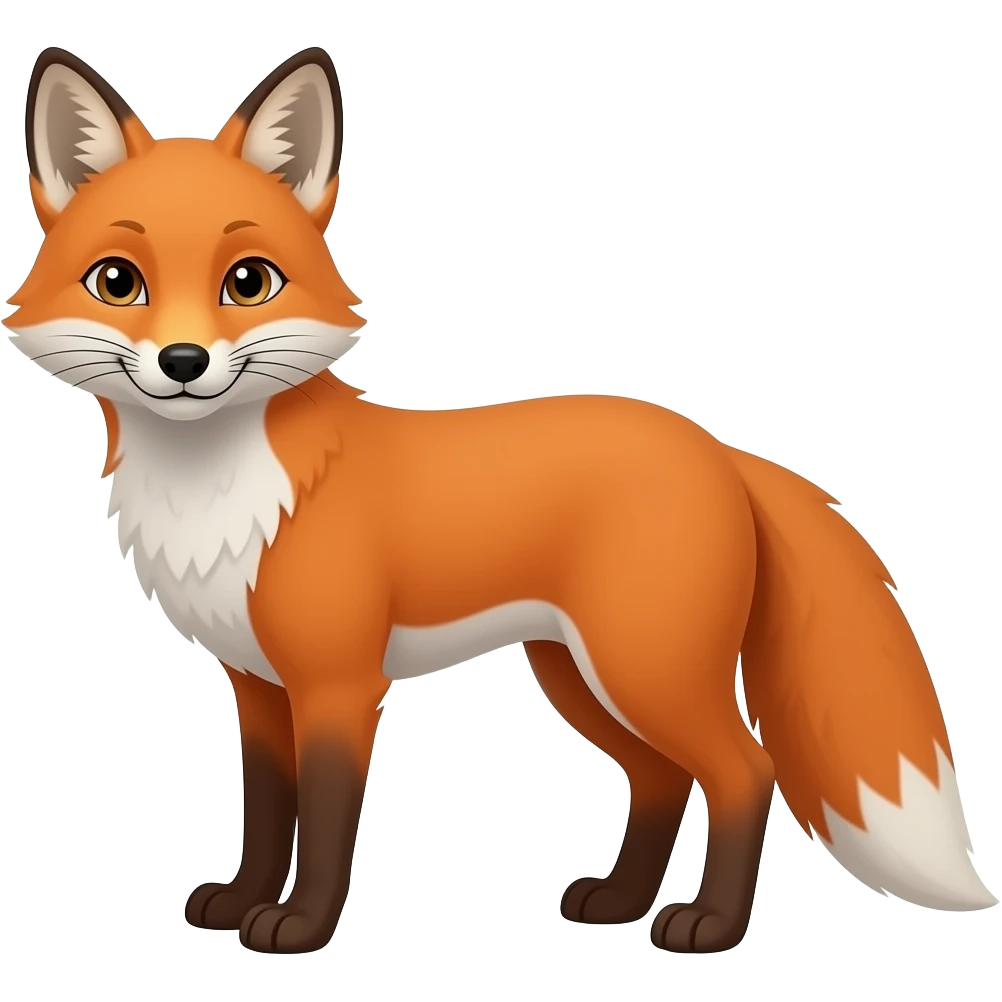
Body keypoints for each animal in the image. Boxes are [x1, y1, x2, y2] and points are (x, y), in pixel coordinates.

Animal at [3, 44, 997, 957]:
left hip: (645, 669)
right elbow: (268, 812)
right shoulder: (256, 686)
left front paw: (297, 925)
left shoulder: (338, 684)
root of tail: (717, 448)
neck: (220, 492)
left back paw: (707, 925)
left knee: (746, 771)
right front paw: (243, 899)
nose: (184, 362)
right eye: (118, 281)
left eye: (248, 281)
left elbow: (322, 825)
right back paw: (620, 902)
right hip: (582, 675)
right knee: (662, 779)